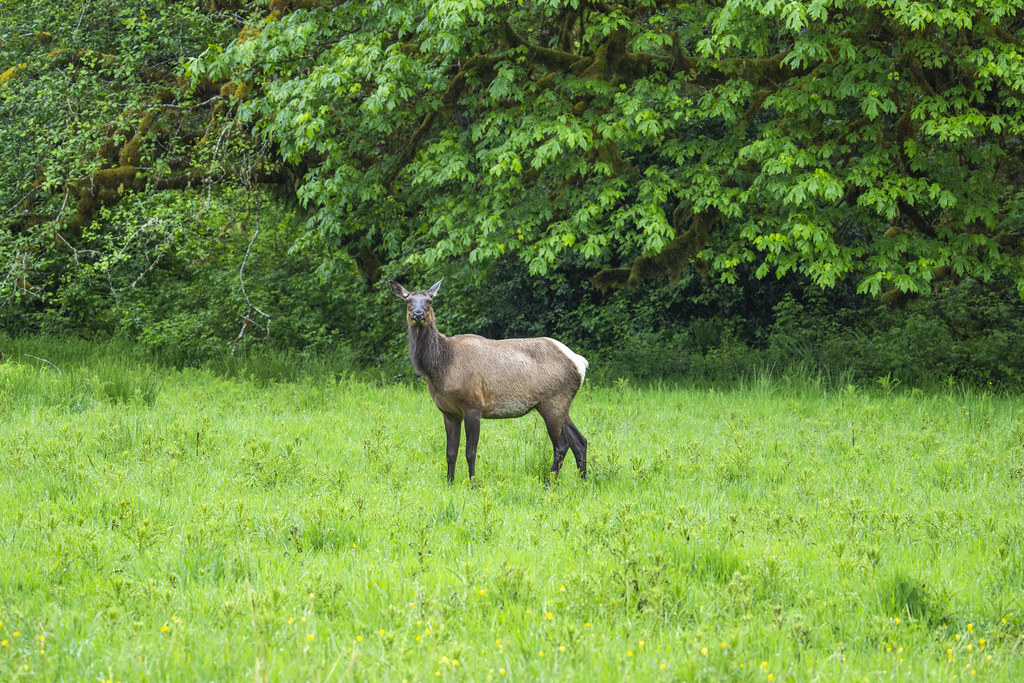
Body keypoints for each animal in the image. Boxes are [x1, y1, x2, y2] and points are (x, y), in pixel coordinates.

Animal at [390, 279, 589, 483]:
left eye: (429, 300)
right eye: (408, 300)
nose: (418, 314)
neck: (441, 367)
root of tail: (581, 363)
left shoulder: (473, 405)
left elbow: (470, 452)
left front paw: (472, 483)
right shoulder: (449, 412)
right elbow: (450, 453)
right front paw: (449, 482)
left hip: (553, 401)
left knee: (562, 445)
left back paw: (549, 483)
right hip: (559, 405)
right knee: (580, 441)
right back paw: (583, 482)